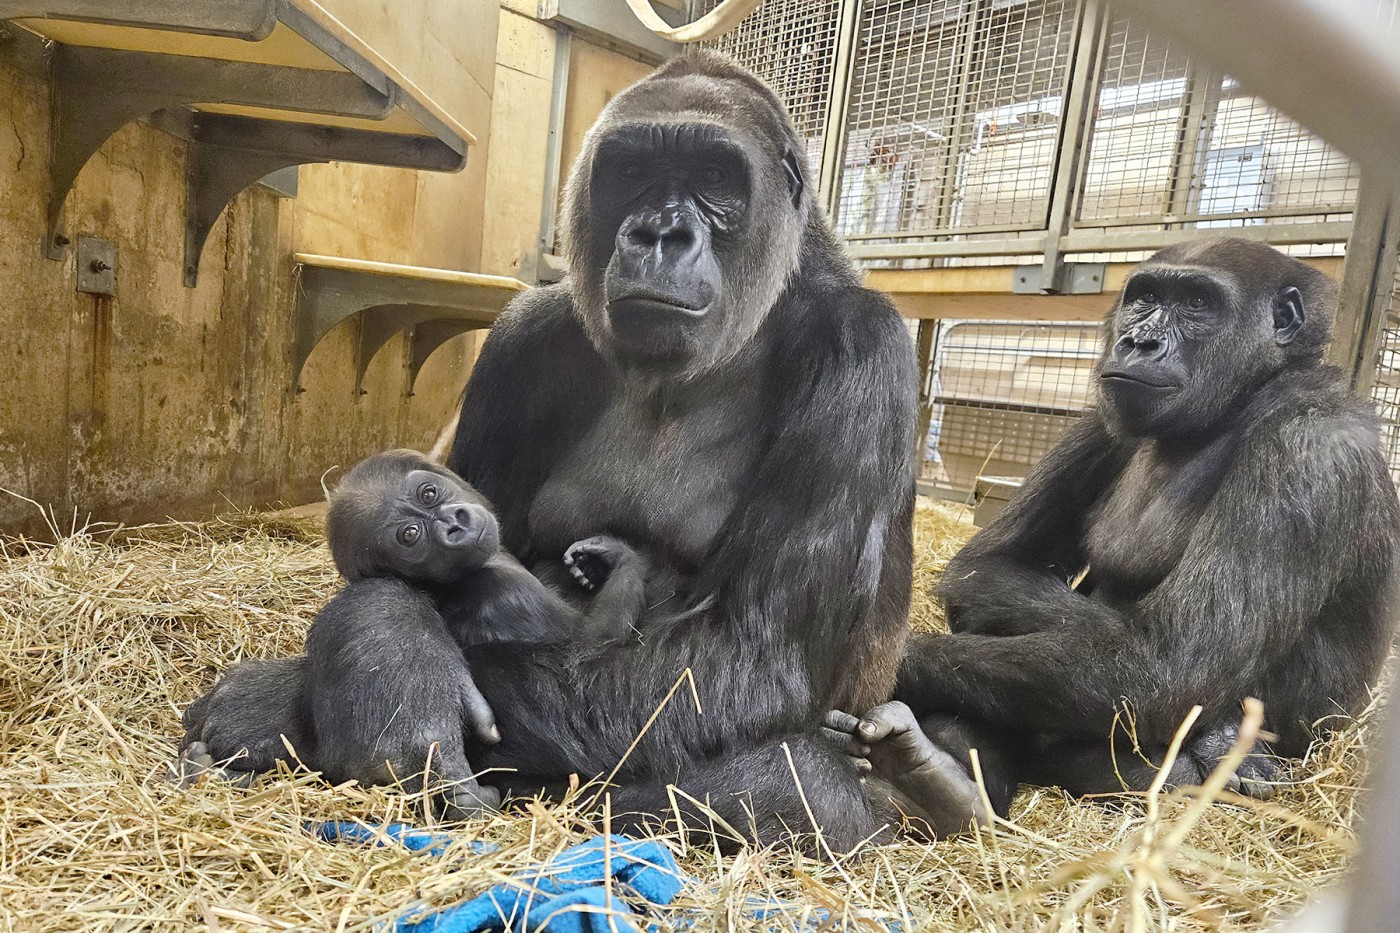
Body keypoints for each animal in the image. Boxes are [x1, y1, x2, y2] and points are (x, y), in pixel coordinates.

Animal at [175, 54, 952, 846]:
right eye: (633, 172)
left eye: (714, 176)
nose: (660, 234)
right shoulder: (522, 337)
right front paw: (388, 660)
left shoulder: (861, 349)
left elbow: (746, 657)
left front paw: (354, 685)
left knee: (801, 786)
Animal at [856, 240, 1394, 812]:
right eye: (1145, 298)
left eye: (1198, 303)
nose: (1140, 340)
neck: (1240, 401)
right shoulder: (1100, 419)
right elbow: (988, 570)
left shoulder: (1308, 450)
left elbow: (1169, 667)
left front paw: (895, 658)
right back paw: (939, 780)